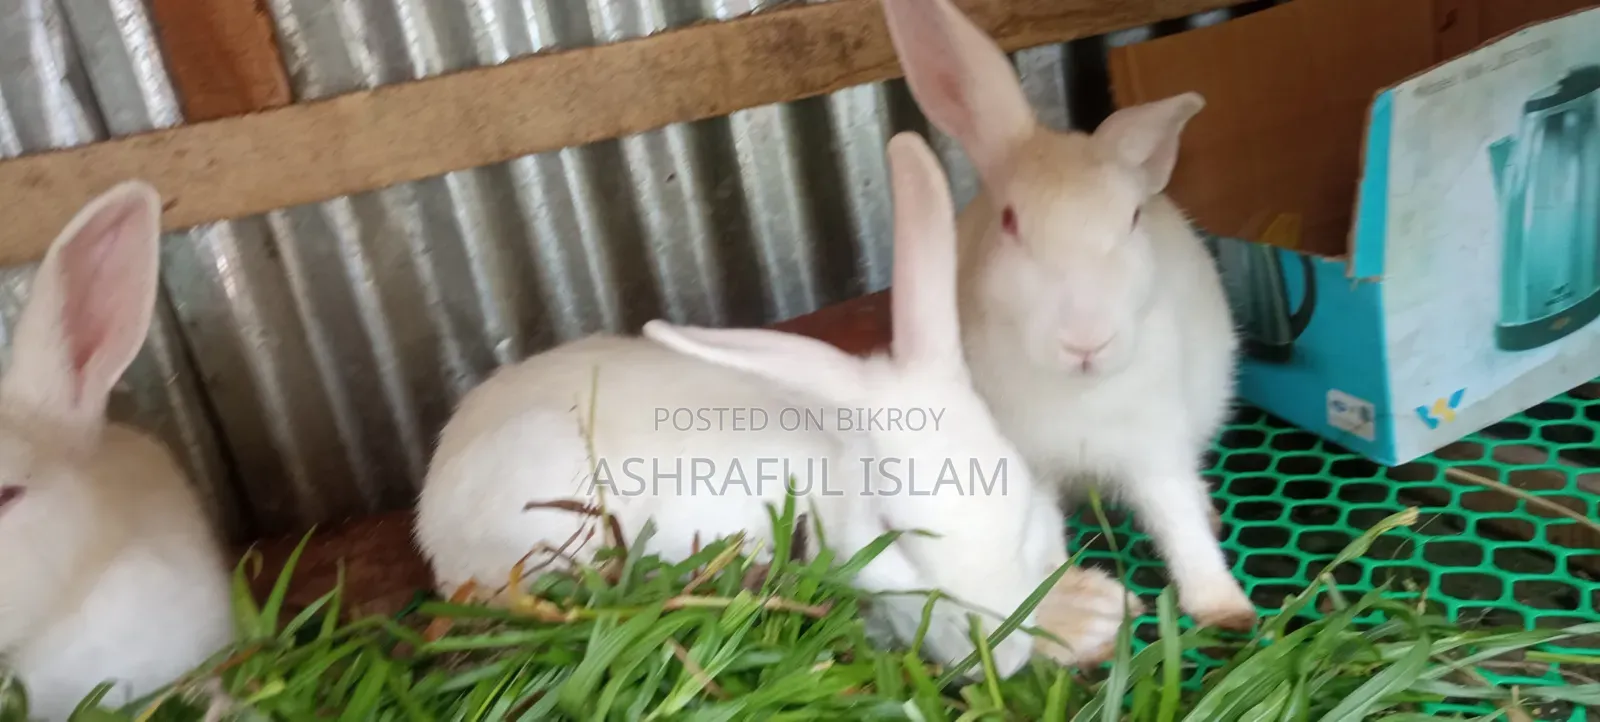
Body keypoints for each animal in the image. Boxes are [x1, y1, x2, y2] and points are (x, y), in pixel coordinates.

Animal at [415, 131, 1138, 677]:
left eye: (1019, 507)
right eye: (894, 534)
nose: (1005, 659)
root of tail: (432, 496)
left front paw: (1099, 608)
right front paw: (1087, 620)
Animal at [879, 0, 1258, 630]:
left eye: (1133, 220)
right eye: (1010, 222)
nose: (1086, 342)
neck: (1079, 392)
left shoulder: (1156, 446)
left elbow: (1178, 522)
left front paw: (1226, 609)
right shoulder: (1031, 467)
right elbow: (1046, 530)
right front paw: (1068, 596)